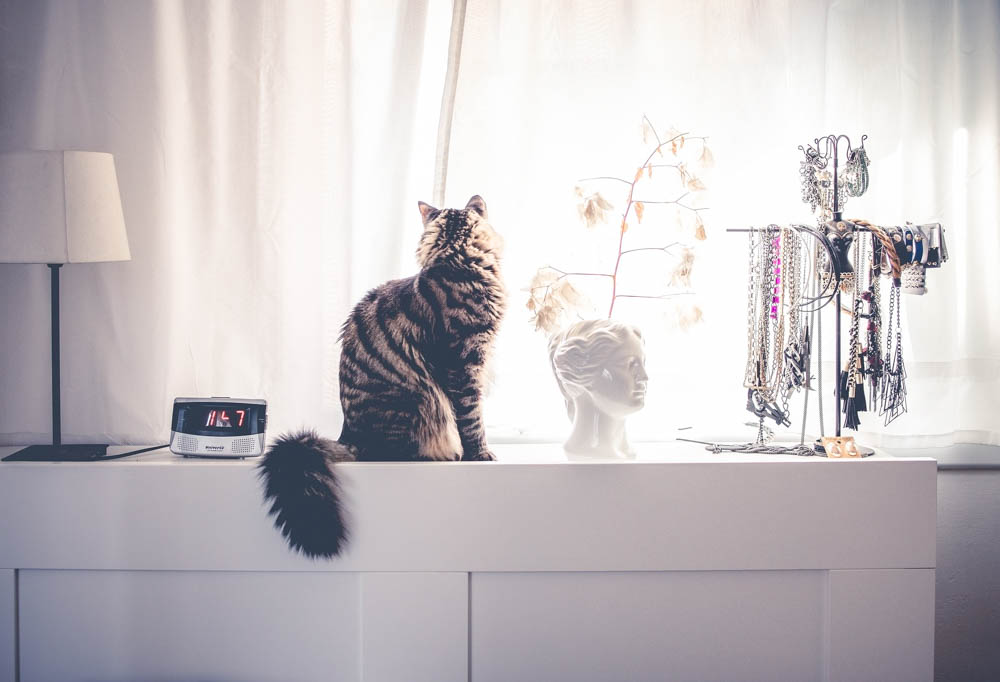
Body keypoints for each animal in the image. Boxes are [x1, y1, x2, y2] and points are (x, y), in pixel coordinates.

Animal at [260, 194, 508, 556]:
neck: (456, 259)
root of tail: (349, 436)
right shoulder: (464, 363)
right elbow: (472, 418)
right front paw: (481, 455)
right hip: (418, 402)